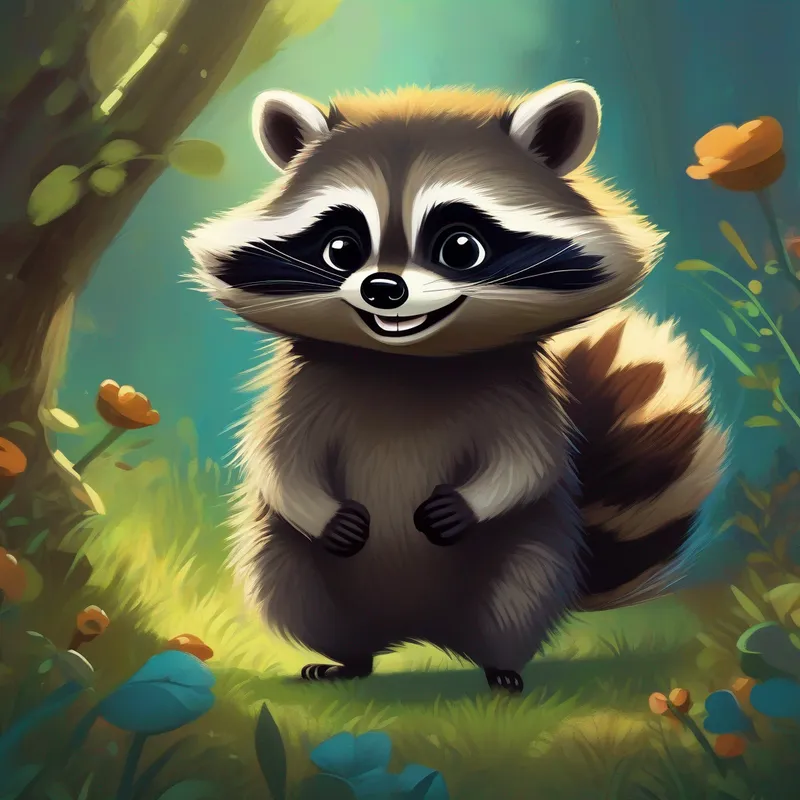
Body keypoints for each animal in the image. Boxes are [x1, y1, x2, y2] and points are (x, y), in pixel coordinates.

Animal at [186, 82, 727, 693]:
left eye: (461, 247)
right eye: (341, 247)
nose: (383, 288)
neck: (406, 364)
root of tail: (416, 631)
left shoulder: (517, 394)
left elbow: (530, 461)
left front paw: (475, 501)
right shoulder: (298, 395)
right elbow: (278, 462)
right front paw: (315, 509)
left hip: (532, 555)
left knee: (517, 597)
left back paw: (502, 668)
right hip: (288, 563)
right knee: (293, 590)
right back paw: (348, 660)